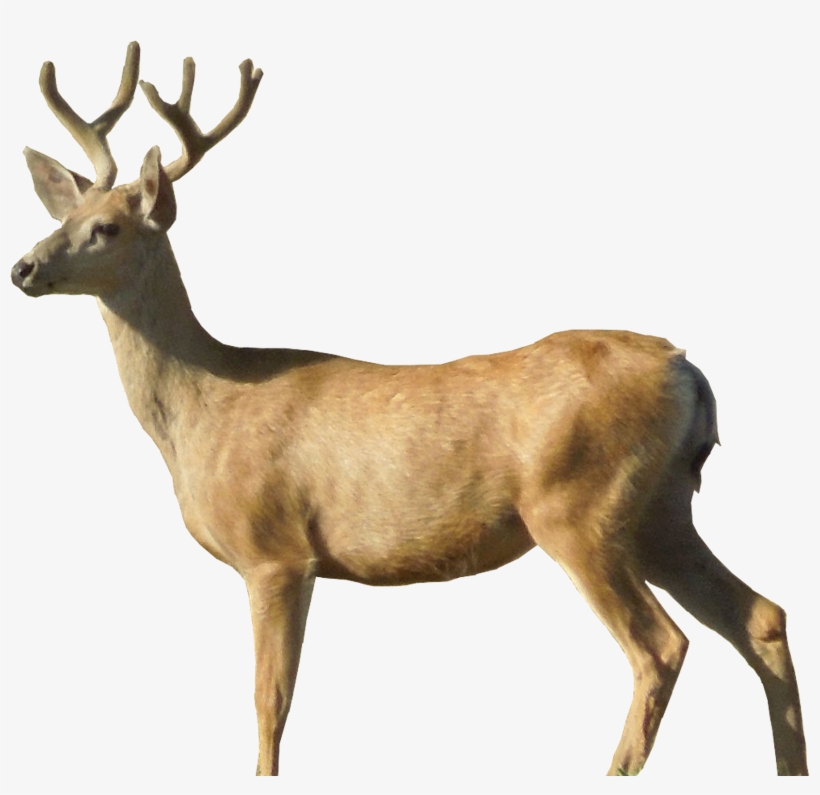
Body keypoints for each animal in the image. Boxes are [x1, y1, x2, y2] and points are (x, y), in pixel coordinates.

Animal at [10, 42, 808, 778]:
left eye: (108, 227)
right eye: (64, 215)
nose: (22, 266)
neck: (205, 407)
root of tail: (687, 368)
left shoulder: (275, 550)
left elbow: (271, 700)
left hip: (578, 505)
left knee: (662, 646)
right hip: (659, 508)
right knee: (761, 616)